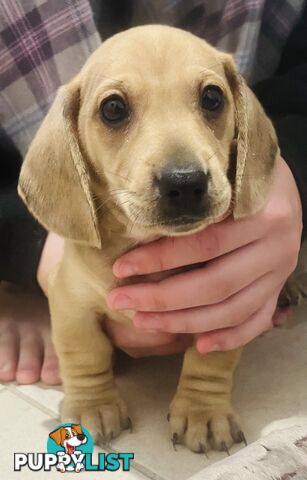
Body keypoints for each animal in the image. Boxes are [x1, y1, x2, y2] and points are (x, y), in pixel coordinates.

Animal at [18, 25, 280, 454]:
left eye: (212, 98)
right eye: (113, 108)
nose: (185, 182)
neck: (145, 240)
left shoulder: (229, 308)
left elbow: (211, 361)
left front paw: (203, 412)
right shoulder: (71, 304)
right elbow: (84, 354)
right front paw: (93, 405)